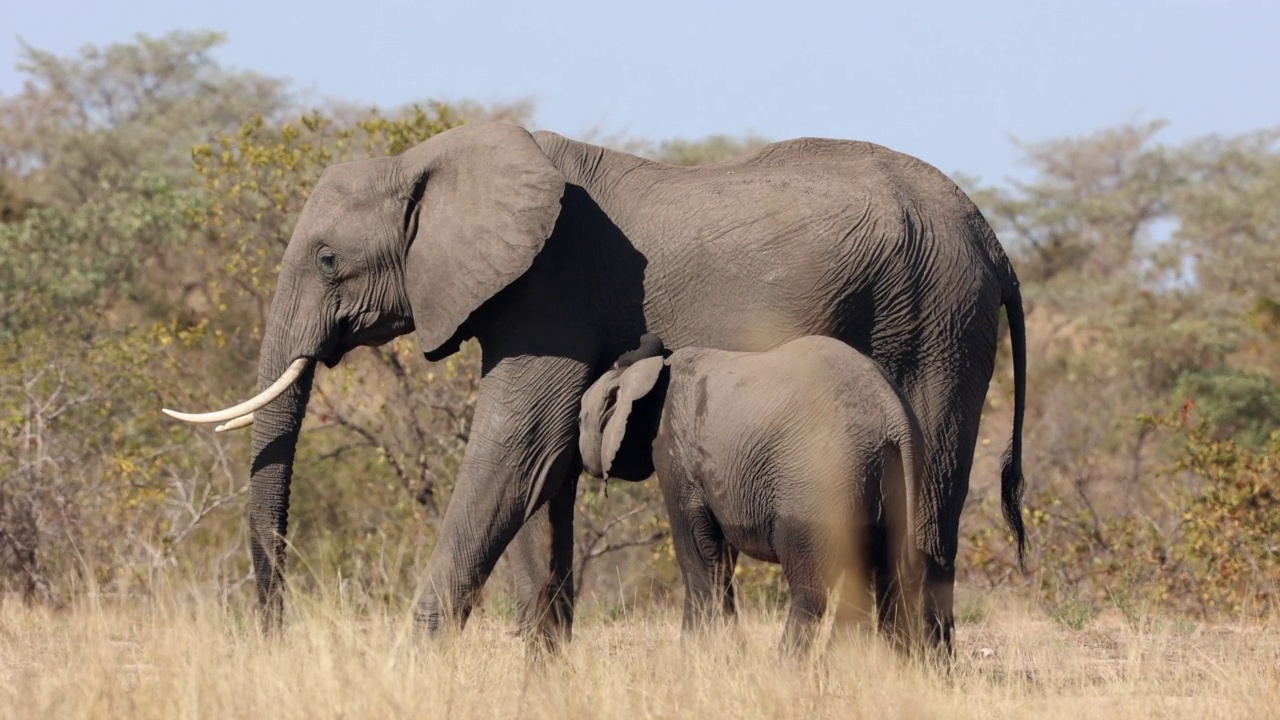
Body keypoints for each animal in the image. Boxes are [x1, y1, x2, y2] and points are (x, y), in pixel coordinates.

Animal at [583, 333, 931, 653]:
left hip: (820, 481)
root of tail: (894, 414)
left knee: (813, 585)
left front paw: (695, 658)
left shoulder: (674, 451)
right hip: (882, 474)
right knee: (877, 574)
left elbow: (697, 549)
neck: (653, 371)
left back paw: (788, 666)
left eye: (581, 417)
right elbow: (720, 554)